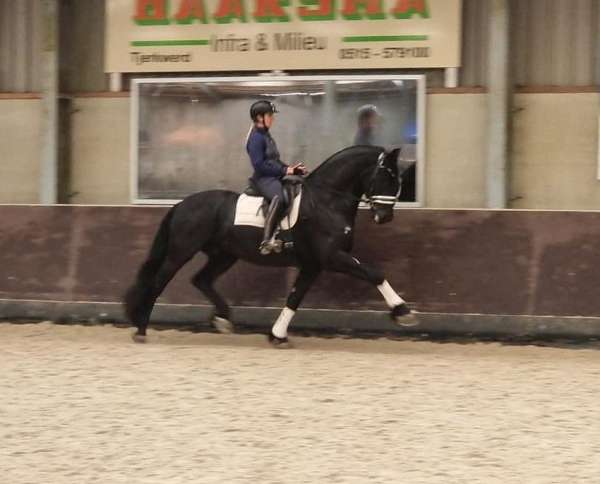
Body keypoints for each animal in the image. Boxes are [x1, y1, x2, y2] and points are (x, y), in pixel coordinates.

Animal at [125, 146, 418, 346]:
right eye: (388, 176)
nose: (385, 217)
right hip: (181, 252)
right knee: (159, 282)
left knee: (201, 279)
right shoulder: (332, 257)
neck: (327, 201)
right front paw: (403, 312)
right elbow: (374, 273)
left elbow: (294, 298)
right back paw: (141, 330)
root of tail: (181, 204)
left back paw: (223, 319)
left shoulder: (313, 265)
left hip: (224, 255)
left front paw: (277, 335)